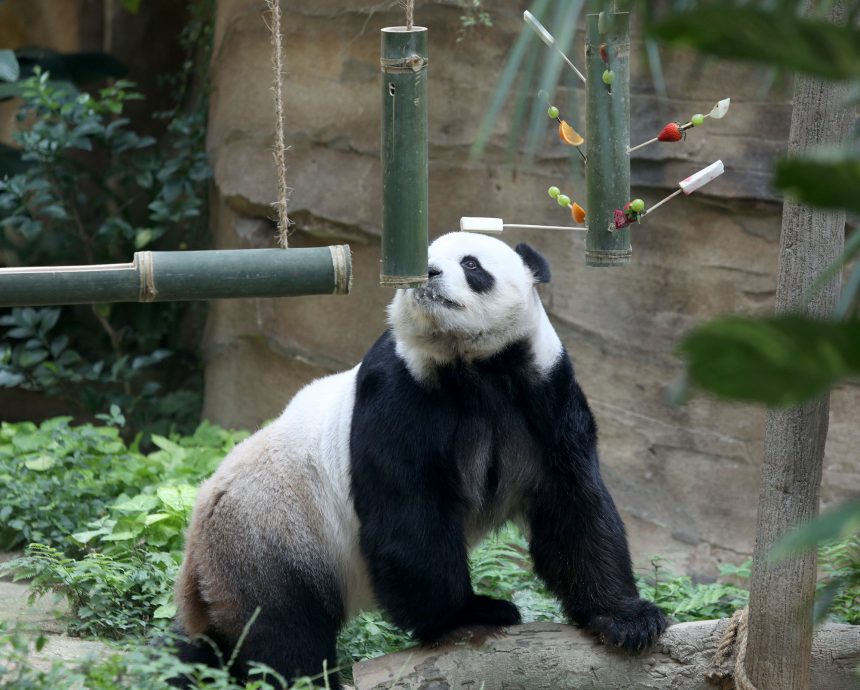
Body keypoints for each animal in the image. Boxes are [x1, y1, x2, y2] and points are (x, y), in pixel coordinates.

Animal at [175, 232, 668, 688]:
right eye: (415, 259)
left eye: (471, 264)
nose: (429, 273)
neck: (470, 361)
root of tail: (197, 537)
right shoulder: (399, 389)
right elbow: (408, 514)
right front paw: (471, 612)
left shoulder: (544, 389)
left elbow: (573, 506)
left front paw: (629, 620)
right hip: (273, 534)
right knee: (284, 635)